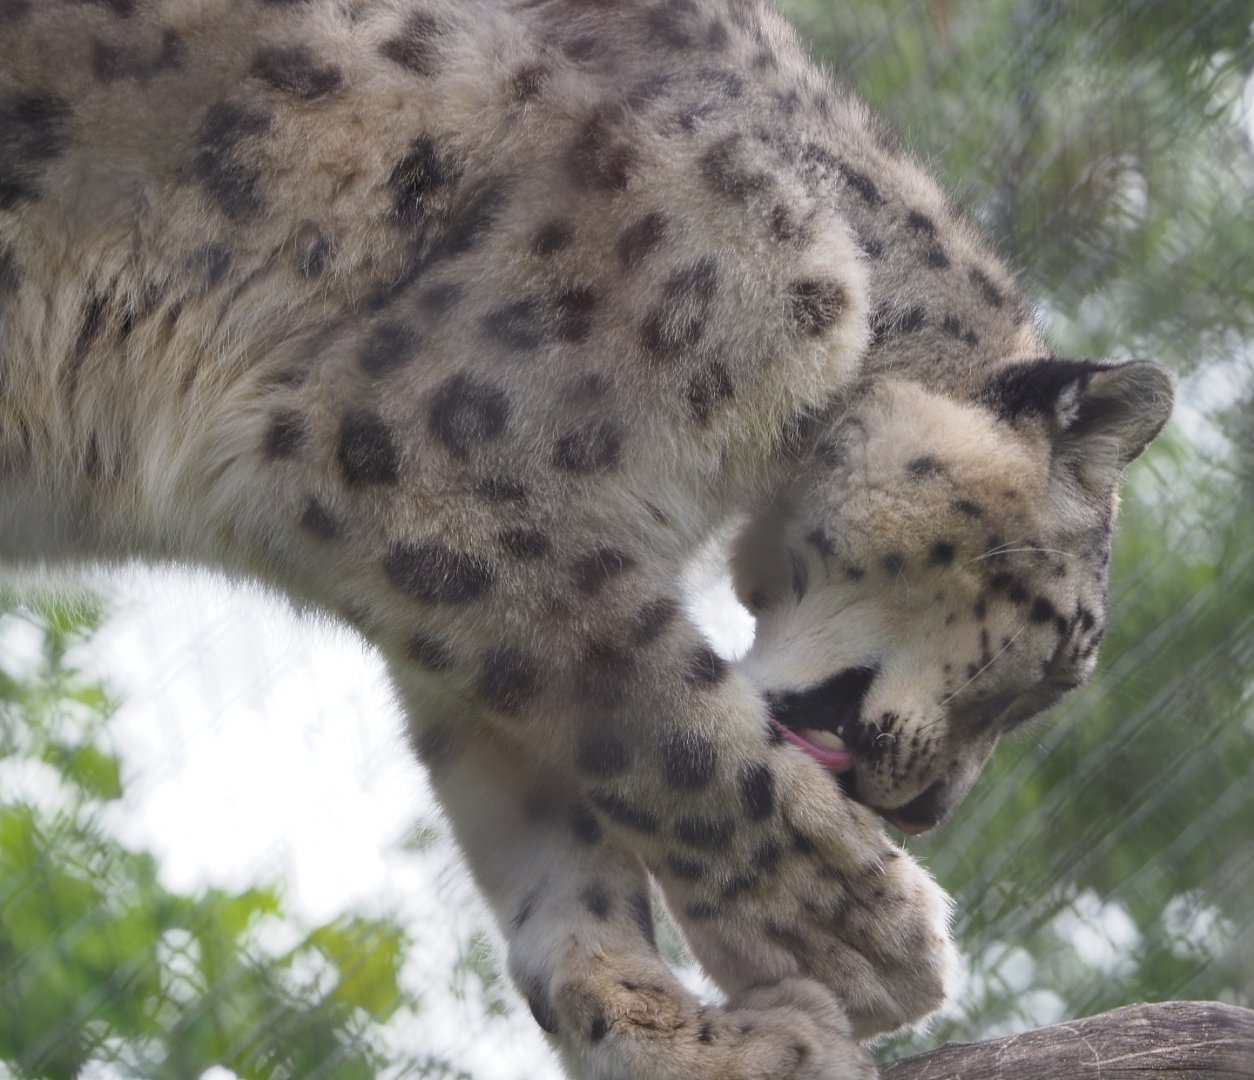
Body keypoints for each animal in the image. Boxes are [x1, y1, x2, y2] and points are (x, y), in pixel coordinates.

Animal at [0, 1, 1173, 1077]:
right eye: (1053, 661)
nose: (928, 811)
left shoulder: (473, 565)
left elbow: (555, 822)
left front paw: (691, 1039)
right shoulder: (419, 449)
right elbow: (665, 714)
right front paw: (858, 931)